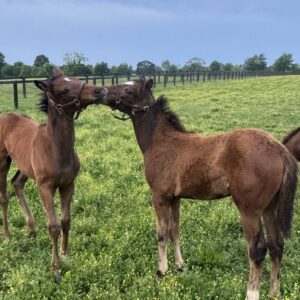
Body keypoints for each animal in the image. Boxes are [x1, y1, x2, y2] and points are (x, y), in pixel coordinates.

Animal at [0, 68, 107, 282]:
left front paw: (66, 255)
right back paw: (7, 236)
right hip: (2, 162)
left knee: (17, 183)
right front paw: (56, 269)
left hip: (25, 166)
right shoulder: (45, 187)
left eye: (76, 79)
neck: (56, 149)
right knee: (4, 196)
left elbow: (66, 220)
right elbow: (54, 225)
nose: (100, 91)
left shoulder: (68, 184)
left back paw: (32, 228)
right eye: (64, 90)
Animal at [101, 79, 298, 300]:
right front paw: (179, 265)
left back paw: (252, 293)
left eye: (128, 90)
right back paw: (274, 292)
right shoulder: (175, 197)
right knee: (276, 245)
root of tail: (279, 148)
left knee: (258, 250)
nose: (103, 92)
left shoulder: (159, 195)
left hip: (250, 210)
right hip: (270, 207)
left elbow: (161, 233)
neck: (162, 142)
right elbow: (174, 230)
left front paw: (161, 271)